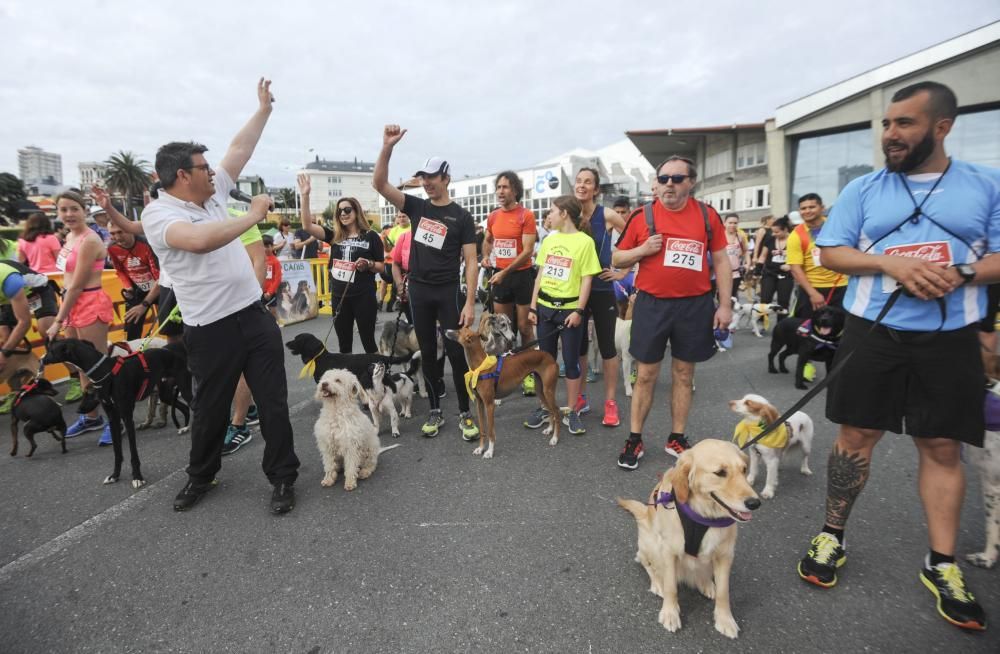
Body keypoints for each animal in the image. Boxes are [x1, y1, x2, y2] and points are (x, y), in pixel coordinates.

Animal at [42, 338, 189, 486]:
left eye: (51, 350)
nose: (42, 360)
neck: (104, 371)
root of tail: (172, 348)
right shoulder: (113, 418)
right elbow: (117, 452)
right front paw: (115, 475)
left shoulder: (127, 417)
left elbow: (133, 452)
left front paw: (137, 477)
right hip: (165, 393)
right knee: (185, 407)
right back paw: (184, 428)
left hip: (183, 387)